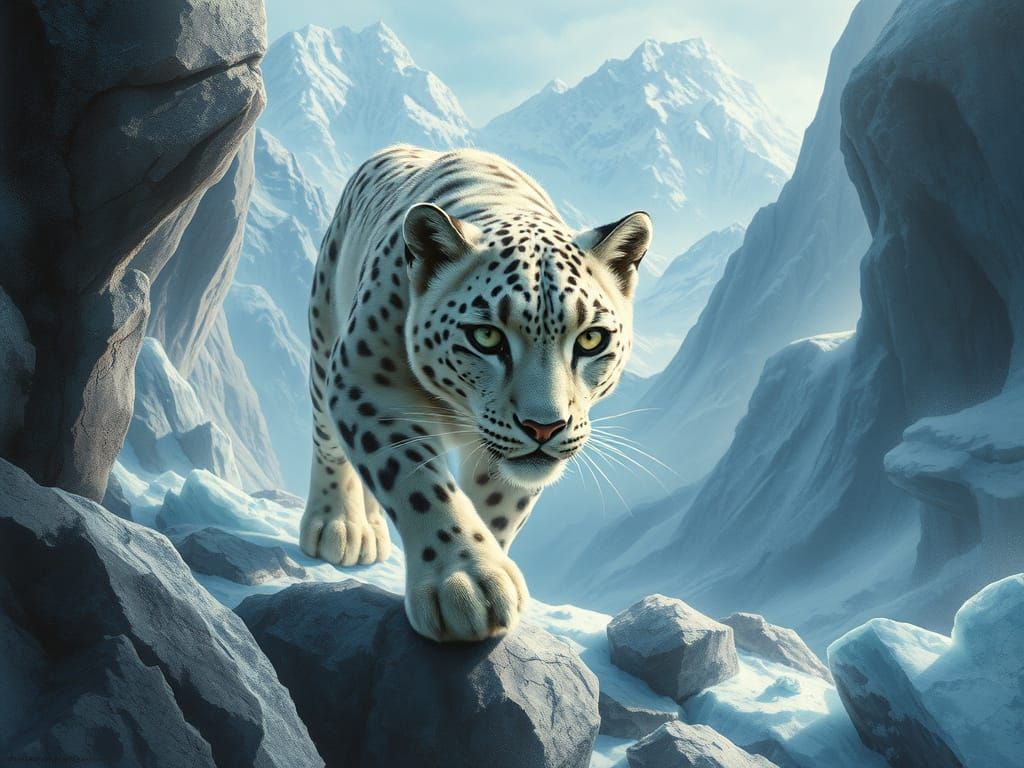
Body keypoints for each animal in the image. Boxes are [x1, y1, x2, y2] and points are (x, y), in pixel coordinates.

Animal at [300, 144, 651, 642]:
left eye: (590, 339)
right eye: (486, 337)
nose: (544, 427)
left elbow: (498, 506)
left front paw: (491, 576)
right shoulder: (367, 382)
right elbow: (416, 481)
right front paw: (465, 585)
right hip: (324, 333)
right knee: (328, 442)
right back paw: (340, 527)